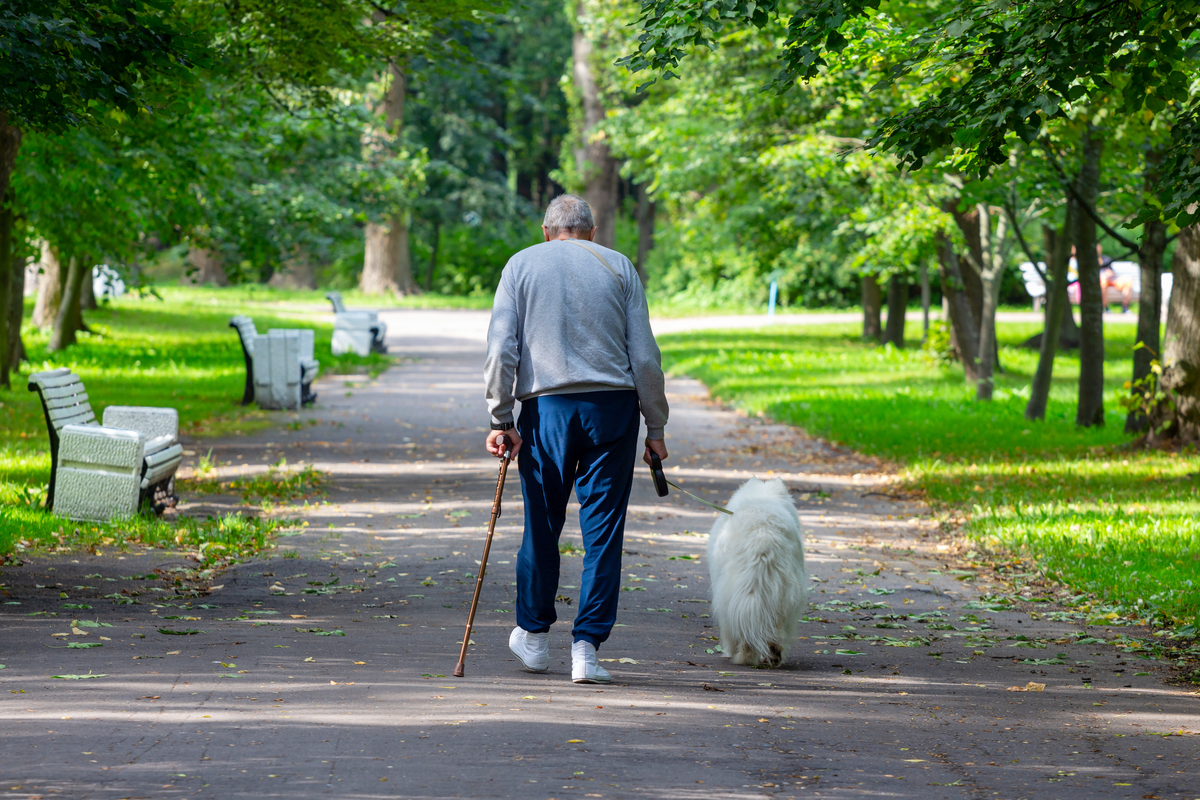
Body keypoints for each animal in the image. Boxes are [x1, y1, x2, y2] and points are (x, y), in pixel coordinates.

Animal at [700, 479, 806, 666]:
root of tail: (763, 533)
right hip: (782, 594)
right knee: (774, 628)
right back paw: (773, 655)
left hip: (732, 593)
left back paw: (744, 656)